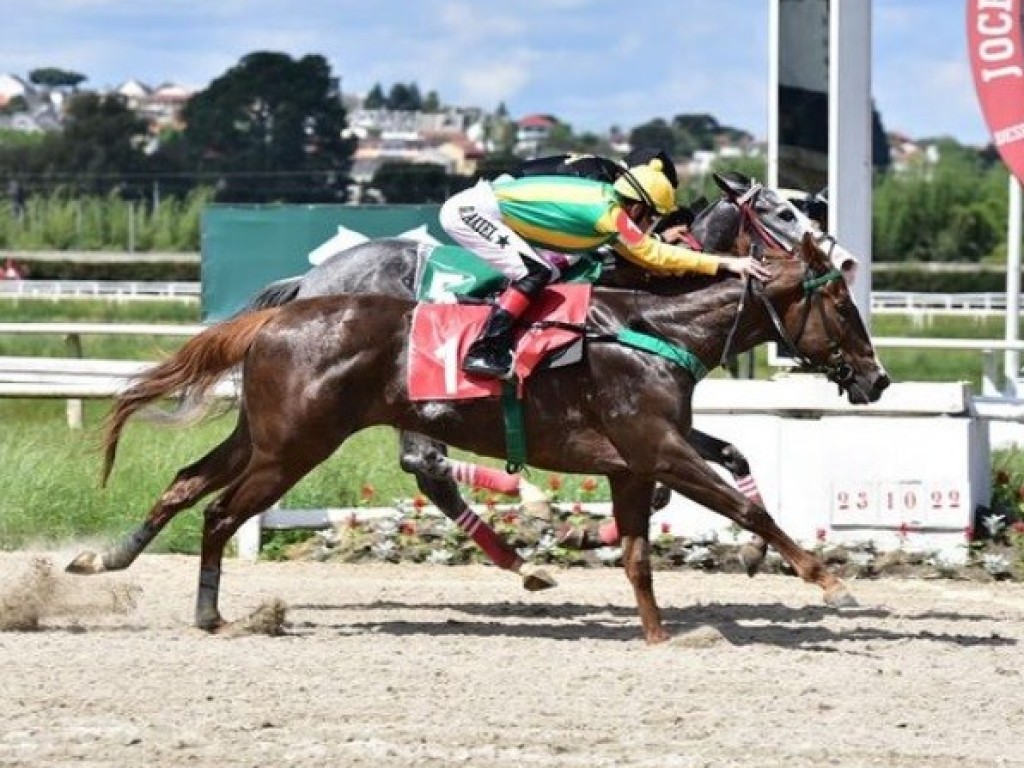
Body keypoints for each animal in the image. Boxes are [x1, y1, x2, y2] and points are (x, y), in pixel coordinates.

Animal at [74, 234, 888, 643]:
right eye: (844, 307)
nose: (877, 380)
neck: (654, 328)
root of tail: (280, 312)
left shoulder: (636, 460)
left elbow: (638, 553)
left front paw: (663, 635)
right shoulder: (659, 447)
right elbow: (746, 509)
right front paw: (829, 580)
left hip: (266, 436)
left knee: (187, 483)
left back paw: (106, 559)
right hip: (293, 447)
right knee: (221, 511)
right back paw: (213, 614)